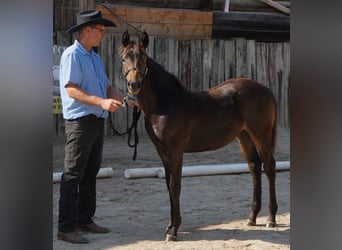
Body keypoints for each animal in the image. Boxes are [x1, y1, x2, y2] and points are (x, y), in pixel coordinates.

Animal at [117, 30, 278, 241]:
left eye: (143, 58)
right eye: (124, 58)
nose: (133, 84)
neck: (166, 103)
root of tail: (266, 89)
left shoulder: (176, 150)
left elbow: (175, 185)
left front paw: (173, 231)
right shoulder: (162, 151)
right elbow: (168, 185)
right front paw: (170, 226)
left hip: (261, 135)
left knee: (269, 167)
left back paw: (271, 219)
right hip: (245, 137)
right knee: (254, 166)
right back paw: (252, 217)